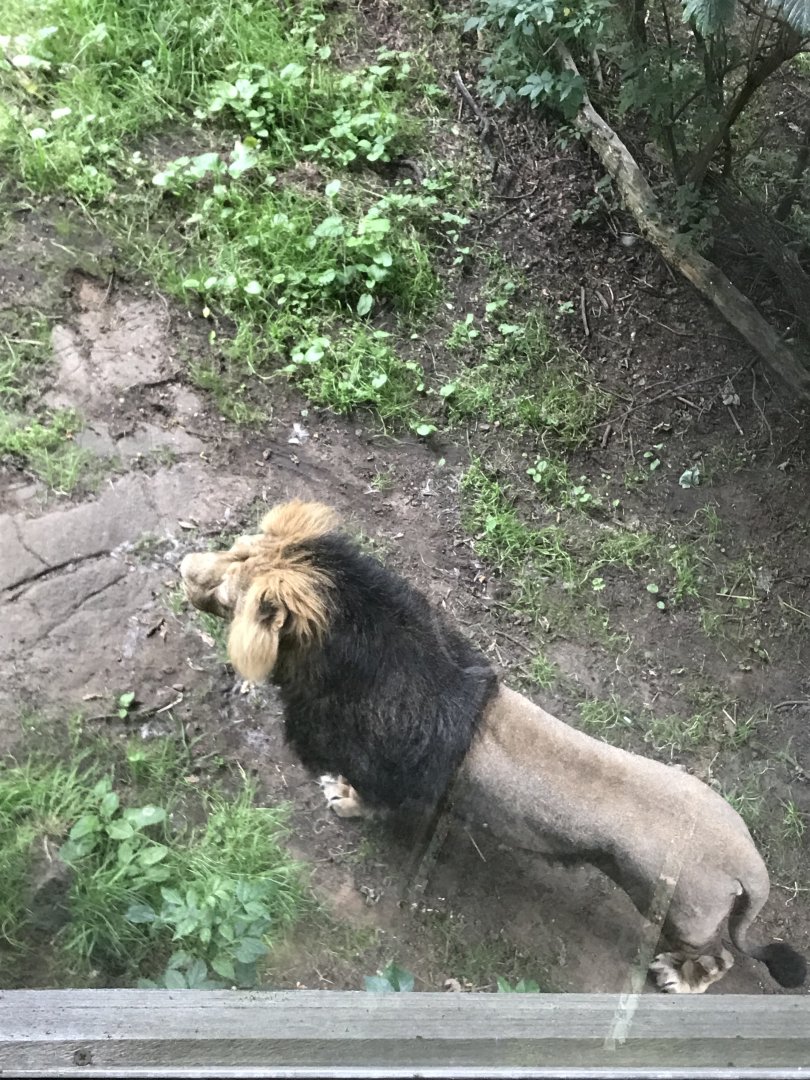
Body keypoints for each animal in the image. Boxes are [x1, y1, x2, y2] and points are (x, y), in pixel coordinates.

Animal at [179, 500, 806, 995]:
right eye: (233, 548)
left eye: (232, 593)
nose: (184, 566)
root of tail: (749, 860)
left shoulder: (389, 776)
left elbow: (367, 798)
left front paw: (343, 799)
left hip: (681, 912)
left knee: (722, 956)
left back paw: (681, 977)